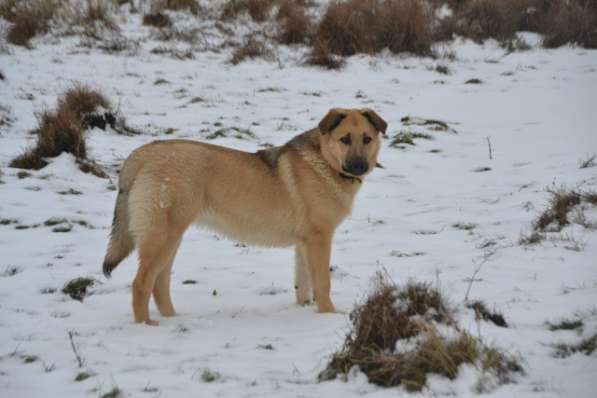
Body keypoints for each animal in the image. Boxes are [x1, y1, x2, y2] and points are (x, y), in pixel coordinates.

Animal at [102, 108, 386, 324]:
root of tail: (141, 154)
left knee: (159, 284)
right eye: (345, 139)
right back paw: (147, 326)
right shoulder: (320, 238)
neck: (325, 163)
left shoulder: (304, 243)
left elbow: (303, 284)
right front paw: (328, 315)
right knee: (141, 283)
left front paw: (305, 311)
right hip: (163, 236)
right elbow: (323, 283)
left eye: (367, 139)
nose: (360, 166)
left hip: (171, 238)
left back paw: (173, 319)